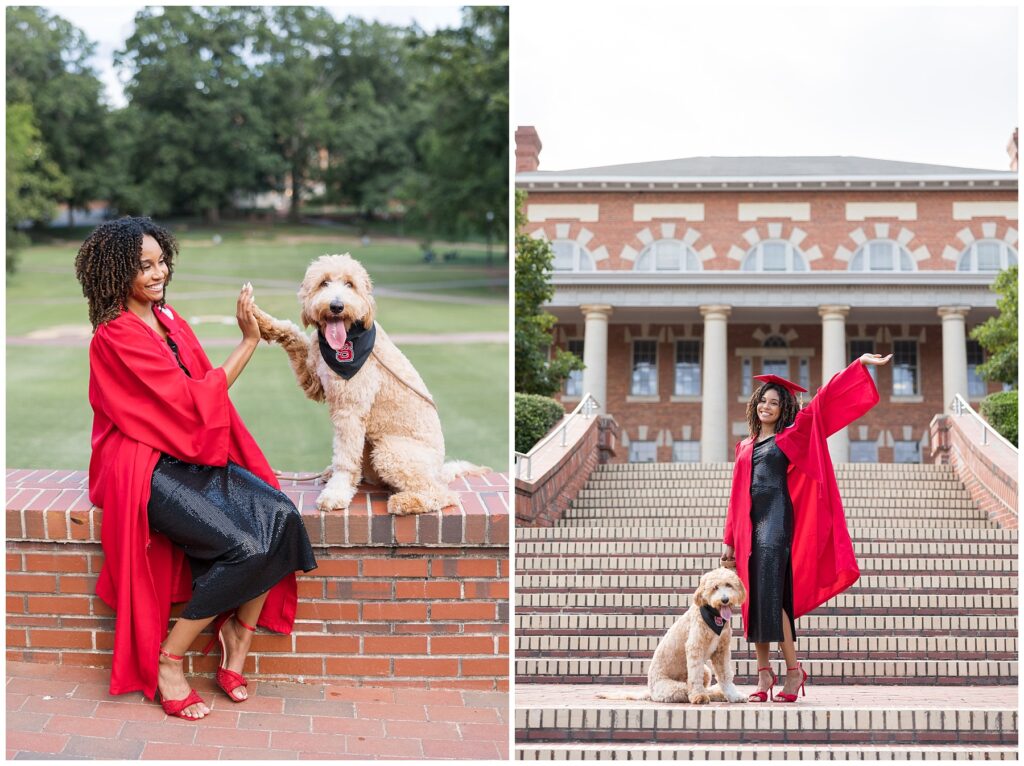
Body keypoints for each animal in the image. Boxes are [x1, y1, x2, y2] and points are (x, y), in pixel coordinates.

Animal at [250, 252, 483, 514]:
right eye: (323, 283)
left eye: (350, 284)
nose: (336, 306)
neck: (349, 340)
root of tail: (439, 470)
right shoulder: (315, 380)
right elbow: (292, 334)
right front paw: (259, 318)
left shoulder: (350, 408)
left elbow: (345, 458)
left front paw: (336, 492)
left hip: (390, 451)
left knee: (444, 494)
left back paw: (405, 501)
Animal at [598, 565, 749, 704]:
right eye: (715, 587)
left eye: (728, 585)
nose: (725, 599)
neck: (714, 616)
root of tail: (651, 692)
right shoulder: (695, 647)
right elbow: (695, 676)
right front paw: (699, 696)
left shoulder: (721, 651)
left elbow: (725, 675)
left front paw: (734, 696)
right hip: (675, 688)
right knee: (690, 689)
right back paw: (708, 694)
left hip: (705, 671)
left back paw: (719, 693)